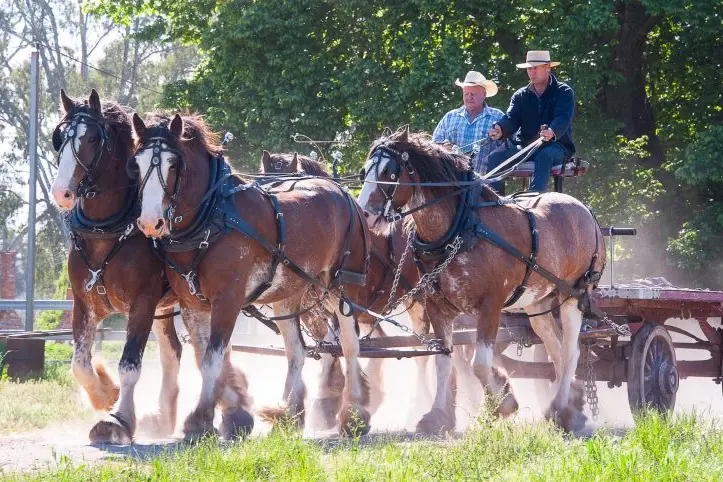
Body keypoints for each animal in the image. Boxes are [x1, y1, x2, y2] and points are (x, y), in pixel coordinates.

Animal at [50, 89, 184, 443]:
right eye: (59, 138)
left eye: (93, 138)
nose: (61, 192)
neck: (106, 230)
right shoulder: (83, 304)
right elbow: (80, 363)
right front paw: (105, 394)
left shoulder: (143, 303)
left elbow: (130, 364)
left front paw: (119, 419)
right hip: (166, 309)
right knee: (173, 351)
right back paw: (164, 417)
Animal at [129, 112, 373, 437]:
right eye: (136, 163)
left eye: (174, 164)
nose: (149, 221)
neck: (213, 218)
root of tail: (342, 193)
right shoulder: (192, 303)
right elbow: (203, 356)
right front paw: (220, 413)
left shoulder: (228, 300)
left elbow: (213, 357)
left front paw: (201, 417)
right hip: (287, 294)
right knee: (297, 350)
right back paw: (290, 413)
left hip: (340, 286)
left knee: (349, 344)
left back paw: (355, 414)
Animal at [358, 129, 605, 432]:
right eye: (364, 171)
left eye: (389, 172)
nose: (365, 215)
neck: (462, 230)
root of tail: (584, 210)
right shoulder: (437, 307)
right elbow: (443, 360)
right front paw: (437, 416)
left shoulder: (490, 306)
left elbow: (480, 364)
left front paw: (503, 402)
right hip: (538, 302)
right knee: (555, 349)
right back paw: (572, 400)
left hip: (573, 296)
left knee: (571, 352)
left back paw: (562, 409)